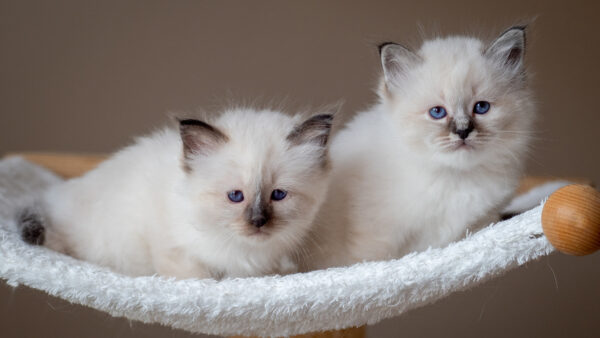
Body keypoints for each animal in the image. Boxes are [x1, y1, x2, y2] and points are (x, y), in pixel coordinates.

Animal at [18, 109, 332, 280]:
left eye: (278, 195)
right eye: (235, 196)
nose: (258, 222)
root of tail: (55, 193)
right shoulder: (173, 251)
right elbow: (203, 279)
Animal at [304, 27, 536, 270]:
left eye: (481, 107)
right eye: (437, 112)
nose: (463, 131)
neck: (454, 178)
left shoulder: (480, 225)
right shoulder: (375, 235)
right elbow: (374, 265)